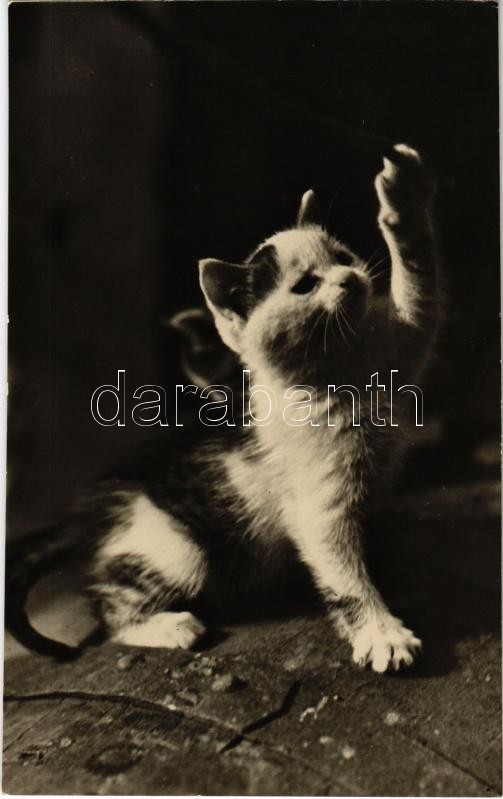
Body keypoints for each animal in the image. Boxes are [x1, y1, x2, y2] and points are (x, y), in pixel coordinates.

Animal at [6, 144, 439, 671]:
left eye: (342, 258)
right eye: (305, 285)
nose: (351, 280)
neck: (340, 370)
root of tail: (91, 508)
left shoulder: (402, 345)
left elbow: (420, 286)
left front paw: (406, 199)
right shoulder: (318, 507)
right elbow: (345, 577)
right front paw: (382, 633)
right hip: (176, 547)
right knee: (107, 603)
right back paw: (168, 626)